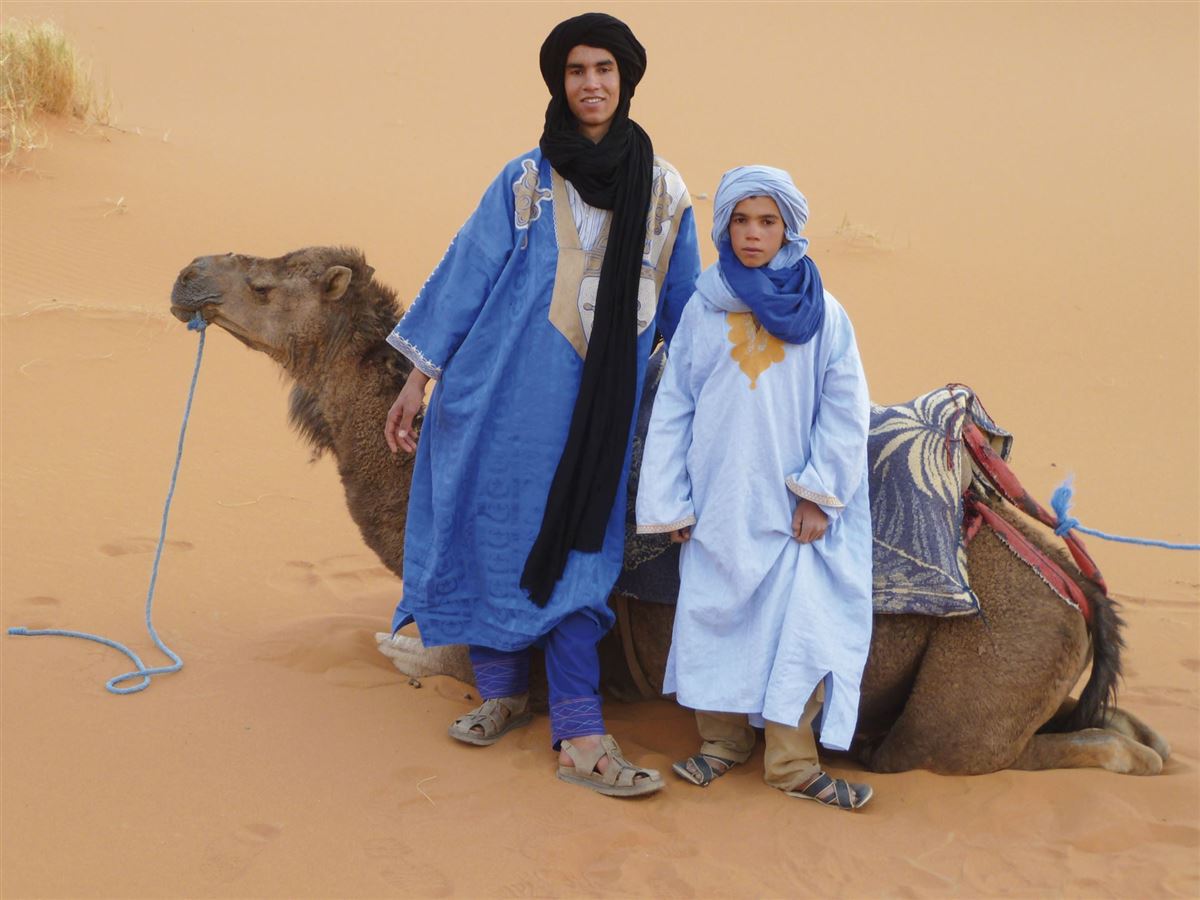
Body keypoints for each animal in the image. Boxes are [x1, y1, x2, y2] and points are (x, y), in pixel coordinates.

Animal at [170, 246, 1169, 776]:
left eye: (268, 286)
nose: (189, 276)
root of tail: (1072, 580)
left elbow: (413, 654)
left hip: (980, 679)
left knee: (989, 752)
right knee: (1123, 732)